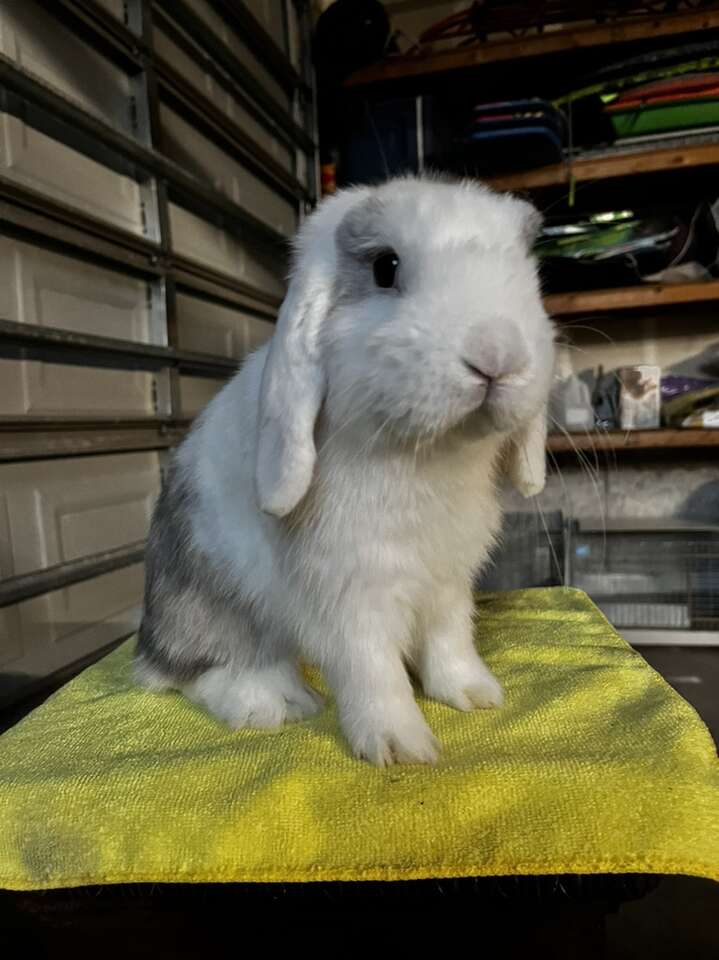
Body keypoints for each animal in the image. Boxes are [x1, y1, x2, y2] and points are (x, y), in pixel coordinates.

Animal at [136, 176, 556, 768]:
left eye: (528, 270)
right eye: (386, 267)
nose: (497, 353)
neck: (426, 455)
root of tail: (147, 636)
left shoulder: (448, 581)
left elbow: (451, 640)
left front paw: (474, 694)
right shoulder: (351, 591)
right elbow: (373, 670)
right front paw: (400, 747)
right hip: (209, 604)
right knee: (196, 669)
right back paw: (273, 703)